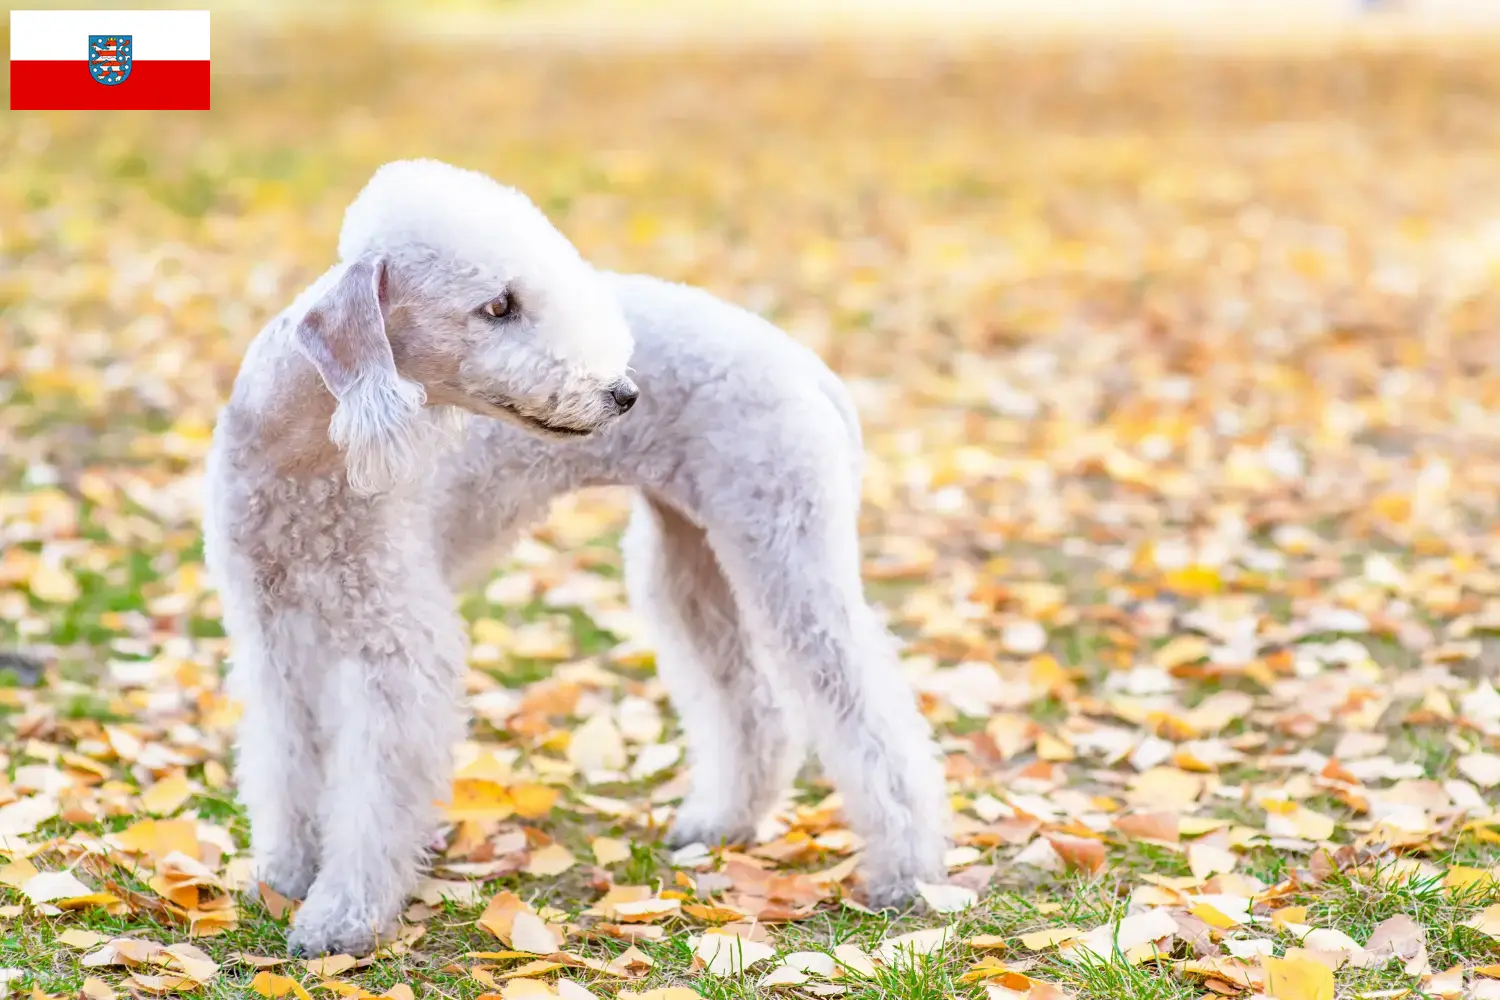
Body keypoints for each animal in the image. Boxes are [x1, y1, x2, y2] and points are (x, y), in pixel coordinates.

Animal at [204, 160, 942, 959]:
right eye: (498, 305)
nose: (622, 393)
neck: (307, 454)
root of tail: (806, 363)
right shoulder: (272, 632)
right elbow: (284, 758)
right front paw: (284, 874)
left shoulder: (396, 642)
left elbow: (374, 789)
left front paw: (341, 916)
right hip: (688, 559)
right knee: (753, 703)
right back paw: (721, 822)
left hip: (786, 541)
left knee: (866, 706)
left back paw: (910, 872)